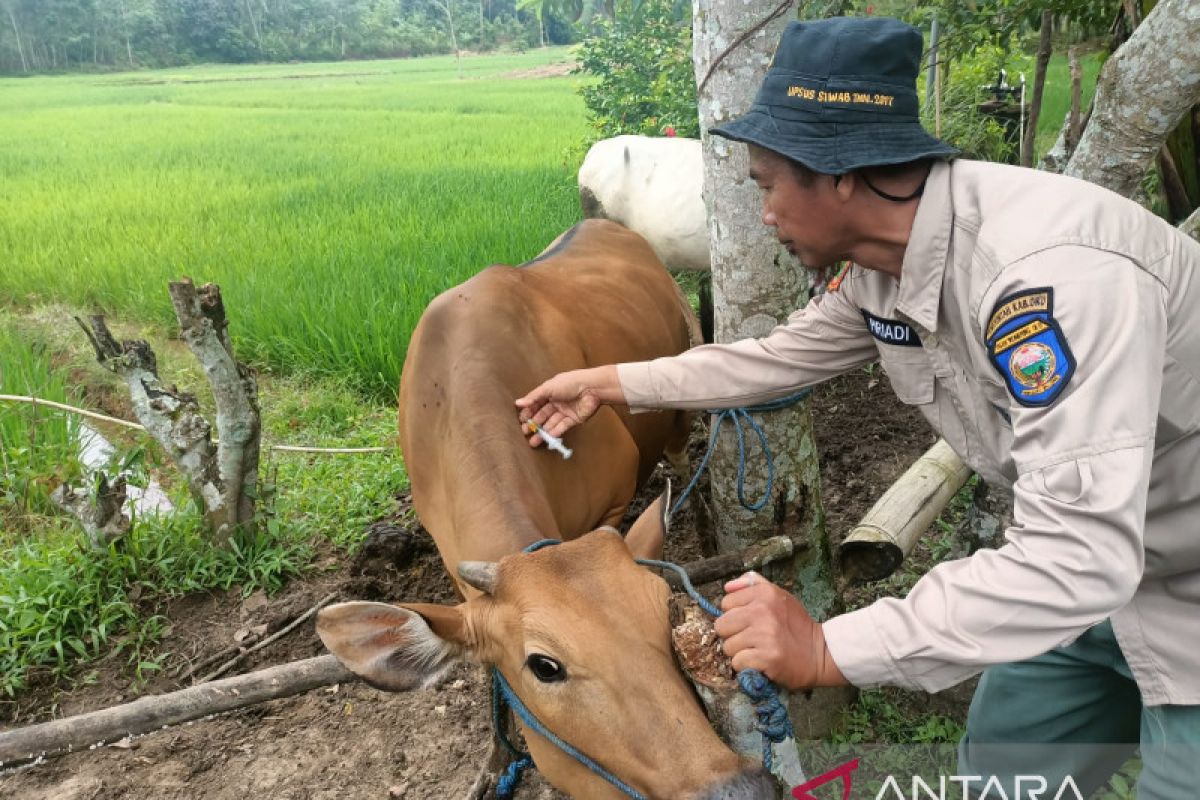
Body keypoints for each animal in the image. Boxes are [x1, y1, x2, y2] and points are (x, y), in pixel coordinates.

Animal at [316, 220, 777, 800]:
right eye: (544, 666)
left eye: (664, 609)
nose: (738, 788)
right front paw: (496, 760)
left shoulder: (614, 499)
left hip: (676, 411)